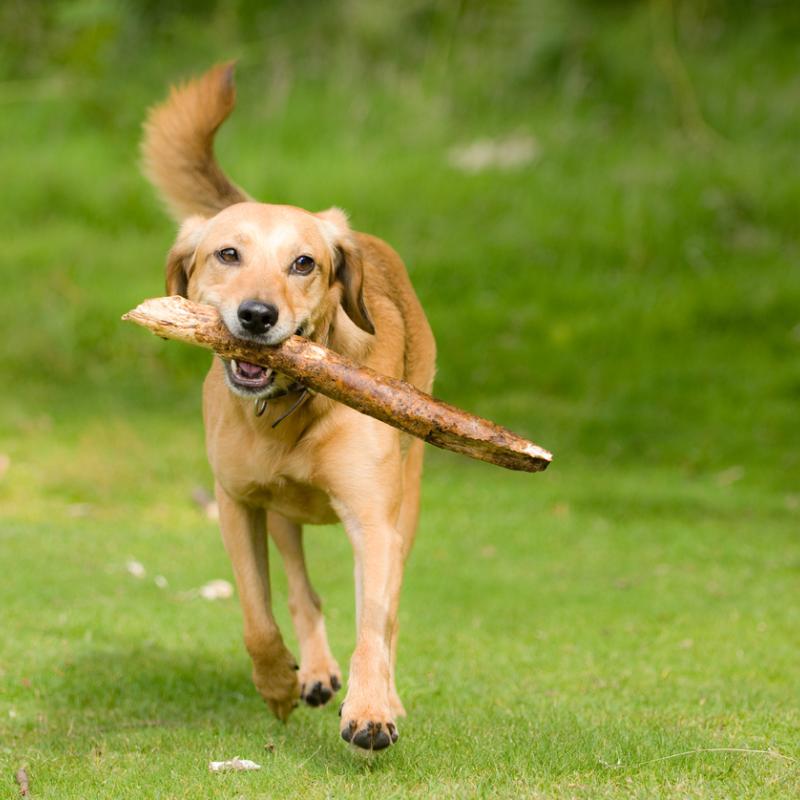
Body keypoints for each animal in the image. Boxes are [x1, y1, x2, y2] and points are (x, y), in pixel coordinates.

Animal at [141, 62, 434, 752]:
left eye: (304, 263)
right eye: (228, 254)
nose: (257, 316)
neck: (288, 412)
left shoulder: (374, 521)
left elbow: (375, 622)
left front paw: (372, 709)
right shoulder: (237, 504)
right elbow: (257, 614)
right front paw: (277, 683)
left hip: (407, 500)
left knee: (386, 612)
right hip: (280, 514)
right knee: (302, 591)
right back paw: (316, 674)